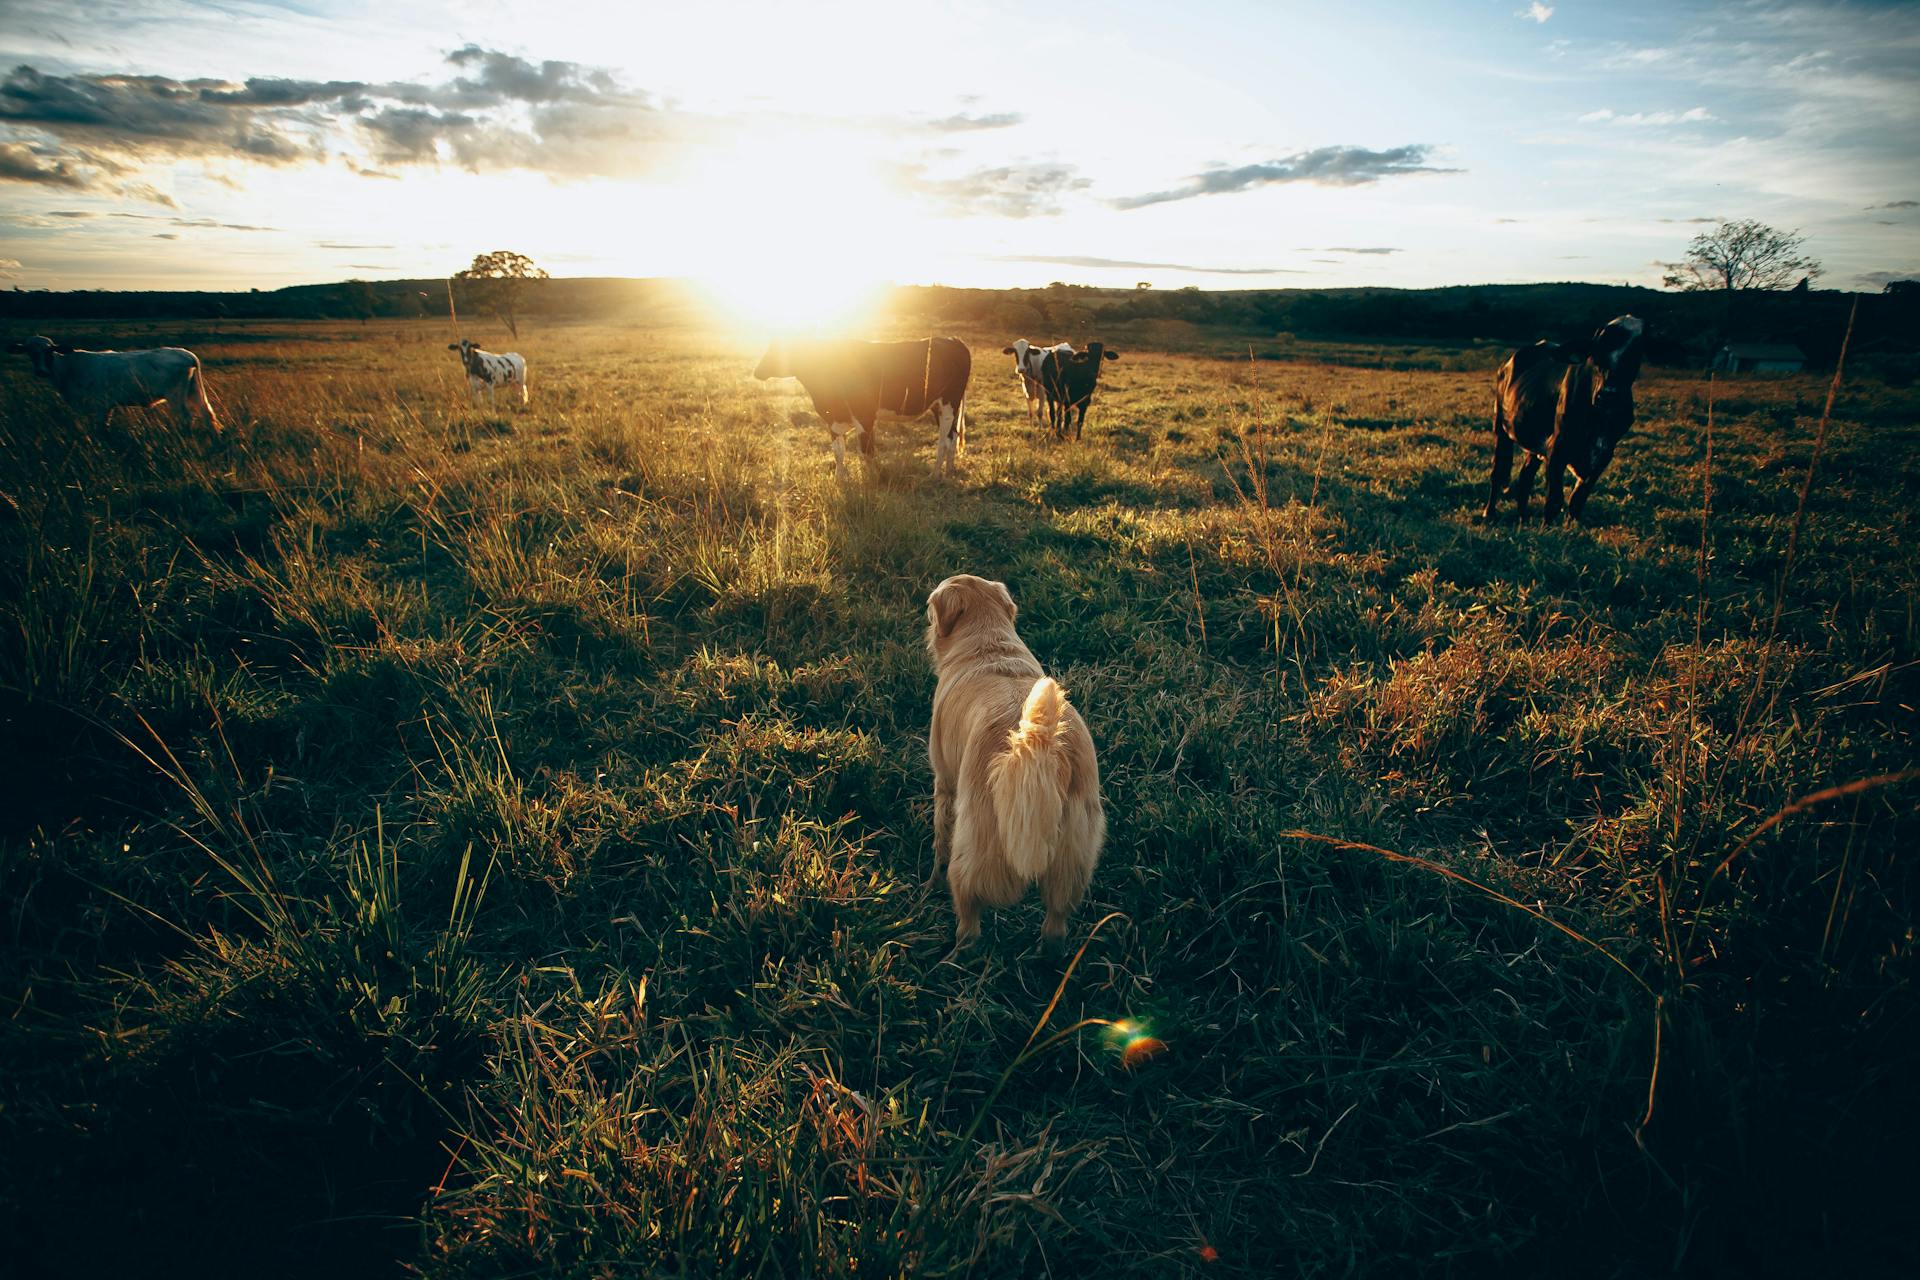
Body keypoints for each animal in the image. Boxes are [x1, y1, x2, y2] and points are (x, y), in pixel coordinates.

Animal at [7, 335, 220, 429]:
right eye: (30, 352)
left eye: (49, 351)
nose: (41, 371)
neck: (68, 368)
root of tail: (186, 354)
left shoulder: (101, 405)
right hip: (194, 392)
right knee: (206, 414)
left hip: (176, 397)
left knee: (187, 417)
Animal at [752, 337, 975, 477]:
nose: (757, 371)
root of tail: (952, 340)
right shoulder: (832, 419)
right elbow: (839, 452)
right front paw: (841, 481)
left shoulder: (865, 416)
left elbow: (866, 453)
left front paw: (870, 483)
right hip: (939, 406)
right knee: (953, 436)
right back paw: (948, 472)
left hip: (949, 403)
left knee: (944, 441)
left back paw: (935, 475)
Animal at [921, 575, 1105, 948]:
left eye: (931, 608)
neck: (990, 643)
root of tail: (1037, 746)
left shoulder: (944, 782)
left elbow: (939, 841)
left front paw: (931, 883)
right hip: (1073, 859)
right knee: (1055, 925)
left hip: (974, 849)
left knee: (970, 922)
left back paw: (956, 951)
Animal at [1482, 314, 1651, 521]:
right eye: (1597, 349)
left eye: (1635, 352)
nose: (1609, 394)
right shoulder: (1557, 449)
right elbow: (1554, 502)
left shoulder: (1603, 455)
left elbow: (1577, 502)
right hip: (1501, 427)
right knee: (1498, 471)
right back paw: (1489, 513)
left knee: (1525, 477)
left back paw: (1523, 518)